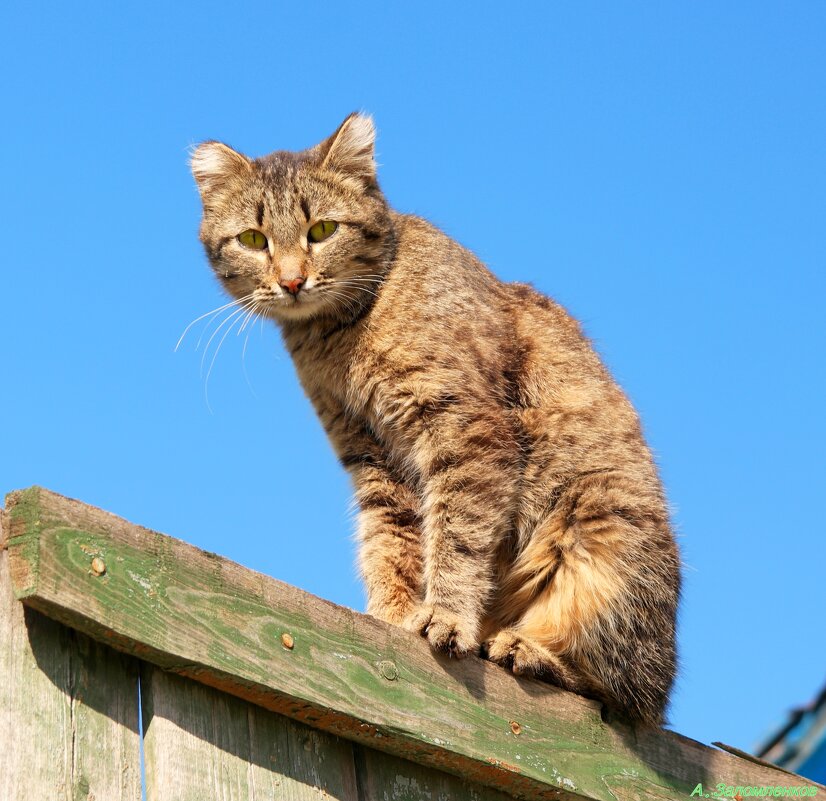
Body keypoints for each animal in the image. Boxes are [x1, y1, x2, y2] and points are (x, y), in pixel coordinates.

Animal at [190, 114, 680, 724]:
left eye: (322, 230)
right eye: (254, 239)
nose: (293, 281)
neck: (339, 336)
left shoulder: (467, 428)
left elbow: (457, 533)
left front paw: (445, 614)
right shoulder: (372, 454)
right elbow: (391, 542)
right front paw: (391, 614)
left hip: (600, 528)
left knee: (624, 691)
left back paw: (530, 648)